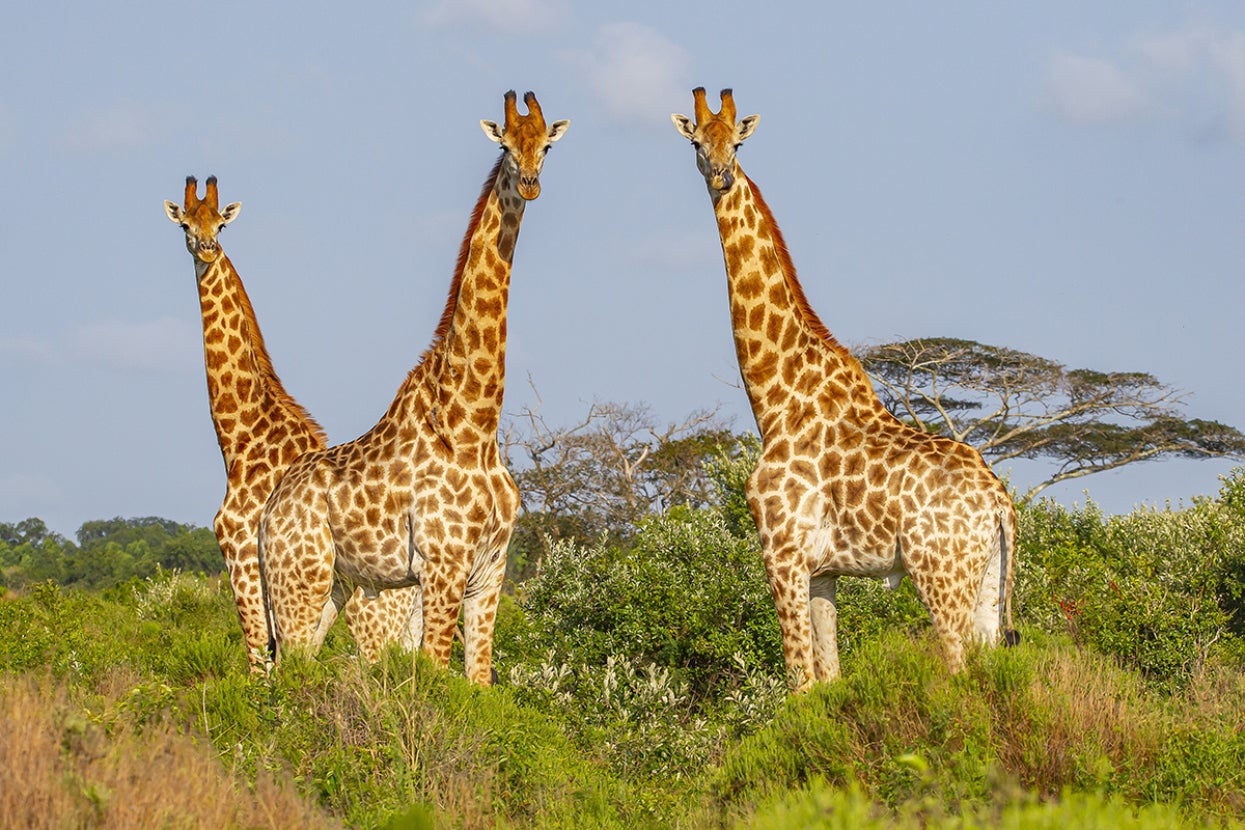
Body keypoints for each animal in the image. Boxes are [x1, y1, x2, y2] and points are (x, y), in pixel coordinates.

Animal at [164, 176, 420, 669]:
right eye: (185, 223)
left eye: (221, 223)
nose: (206, 249)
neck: (243, 437)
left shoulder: (241, 553)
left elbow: (258, 659)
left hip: (370, 611)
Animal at [258, 91, 569, 684]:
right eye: (505, 145)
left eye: (546, 144)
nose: (530, 183)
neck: (474, 425)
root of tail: (269, 508)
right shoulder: (442, 567)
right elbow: (432, 674)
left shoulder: (490, 572)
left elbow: (479, 682)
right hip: (298, 580)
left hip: (333, 586)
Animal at [672, 88, 1017, 691]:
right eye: (697, 143)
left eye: (737, 142)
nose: (721, 176)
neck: (776, 398)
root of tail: (998, 500)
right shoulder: (822, 570)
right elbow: (828, 676)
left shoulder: (781, 552)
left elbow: (798, 683)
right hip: (986, 584)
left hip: (940, 574)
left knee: (957, 672)